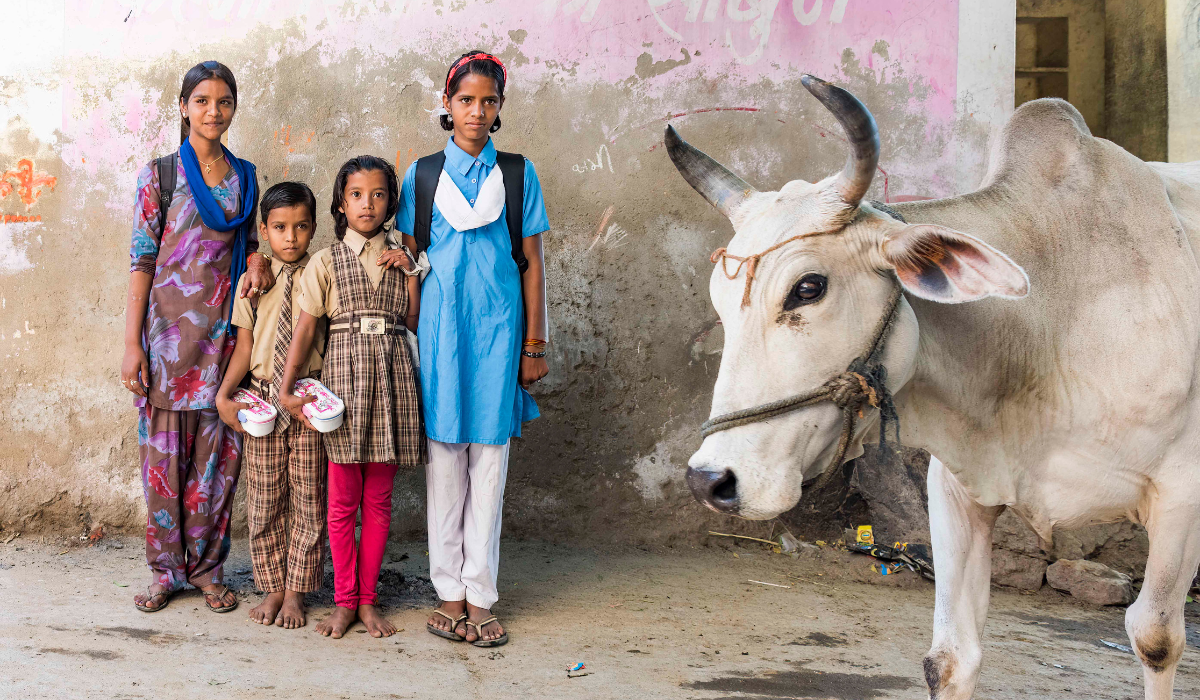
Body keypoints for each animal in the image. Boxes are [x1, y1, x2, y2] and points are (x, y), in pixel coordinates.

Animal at [672, 76, 1200, 700]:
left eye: (808, 287)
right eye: (719, 300)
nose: (711, 481)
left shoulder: (1183, 496)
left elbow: (1156, 638)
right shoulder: (957, 487)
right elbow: (950, 659)